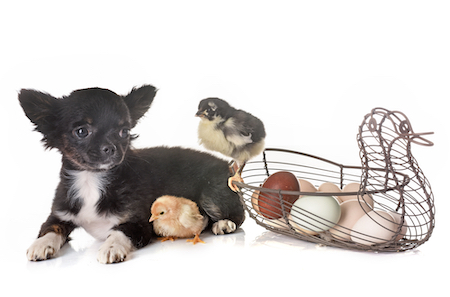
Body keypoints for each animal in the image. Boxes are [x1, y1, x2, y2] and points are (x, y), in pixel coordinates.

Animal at [20, 85, 246, 264]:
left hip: (211, 196)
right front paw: (40, 244)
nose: (111, 148)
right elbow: (49, 228)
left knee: (238, 215)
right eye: (82, 131)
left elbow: (120, 232)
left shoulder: (139, 224)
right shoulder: (60, 214)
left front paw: (111, 247)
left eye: (124, 132)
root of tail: (229, 167)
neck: (92, 180)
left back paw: (223, 224)